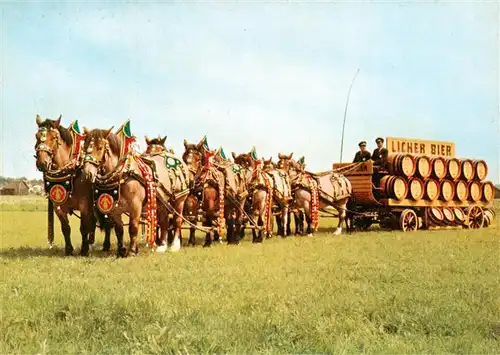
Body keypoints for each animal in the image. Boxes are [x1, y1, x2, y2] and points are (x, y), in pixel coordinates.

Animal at [34, 114, 111, 256]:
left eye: (54, 137)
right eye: (36, 136)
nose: (42, 162)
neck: (70, 173)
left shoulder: (84, 205)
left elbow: (83, 228)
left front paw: (84, 249)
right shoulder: (58, 207)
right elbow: (66, 228)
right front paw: (69, 249)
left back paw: (105, 245)